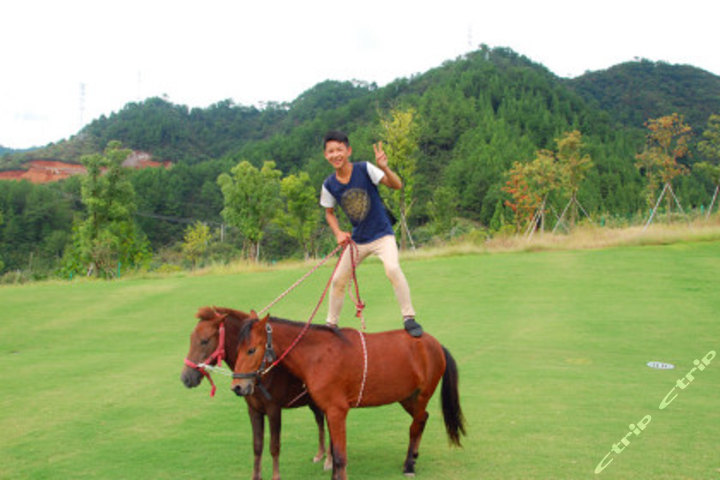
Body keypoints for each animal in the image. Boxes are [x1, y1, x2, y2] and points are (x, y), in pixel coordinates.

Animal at [184, 308, 334, 480]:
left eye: (204, 341)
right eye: (191, 339)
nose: (186, 378)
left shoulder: (273, 409)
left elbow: (274, 446)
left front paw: (276, 476)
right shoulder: (253, 409)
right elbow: (257, 445)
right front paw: (256, 475)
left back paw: (329, 460)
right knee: (320, 421)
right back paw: (320, 453)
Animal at [232, 312, 466, 480]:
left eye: (251, 350)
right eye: (237, 349)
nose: (238, 387)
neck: (319, 354)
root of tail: (434, 344)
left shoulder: (337, 412)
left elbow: (340, 457)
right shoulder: (328, 411)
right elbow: (335, 454)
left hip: (422, 395)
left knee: (415, 426)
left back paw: (409, 464)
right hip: (407, 397)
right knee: (423, 418)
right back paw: (413, 457)